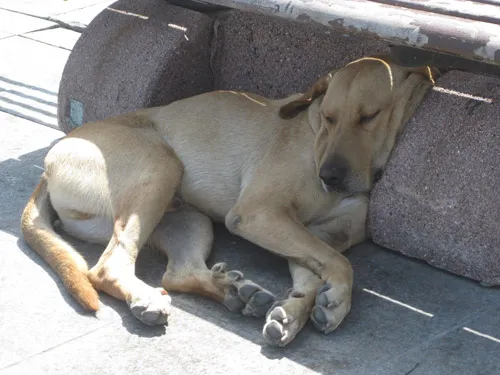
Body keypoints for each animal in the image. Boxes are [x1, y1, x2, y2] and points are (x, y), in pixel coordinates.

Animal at [20, 54, 434, 348]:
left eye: (369, 117)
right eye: (330, 118)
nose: (329, 176)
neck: (315, 135)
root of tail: (49, 163)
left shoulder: (311, 235)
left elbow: (318, 270)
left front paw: (294, 312)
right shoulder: (260, 215)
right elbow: (341, 264)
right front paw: (336, 300)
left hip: (186, 219)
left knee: (178, 273)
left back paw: (234, 293)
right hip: (158, 168)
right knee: (107, 268)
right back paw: (148, 300)